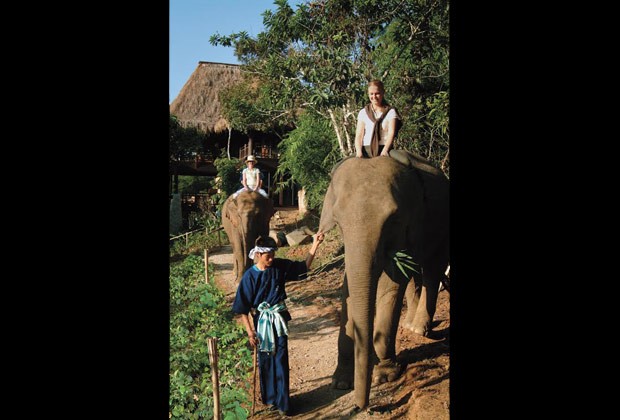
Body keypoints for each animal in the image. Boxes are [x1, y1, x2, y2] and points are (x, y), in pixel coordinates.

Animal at [318, 152, 448, 410]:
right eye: (338, 221)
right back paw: (409, 325)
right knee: (416, 274)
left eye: (394, 218)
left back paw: (419, 328)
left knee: (432, 271)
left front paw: (384, 376)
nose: (362, 407)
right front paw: (340, 382)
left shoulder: (409, 224)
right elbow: (349, 285)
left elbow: (392, 283)